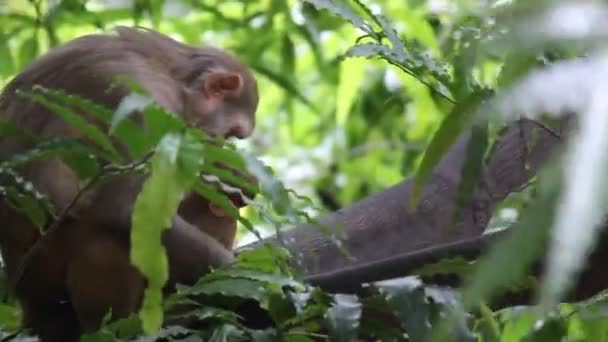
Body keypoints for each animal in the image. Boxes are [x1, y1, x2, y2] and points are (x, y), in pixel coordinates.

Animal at [0, 26, 258, 340]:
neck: (175, 79)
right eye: (232, 133)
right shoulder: (143, 99)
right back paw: (113, 327)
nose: (220, 147)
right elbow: (126, 209)